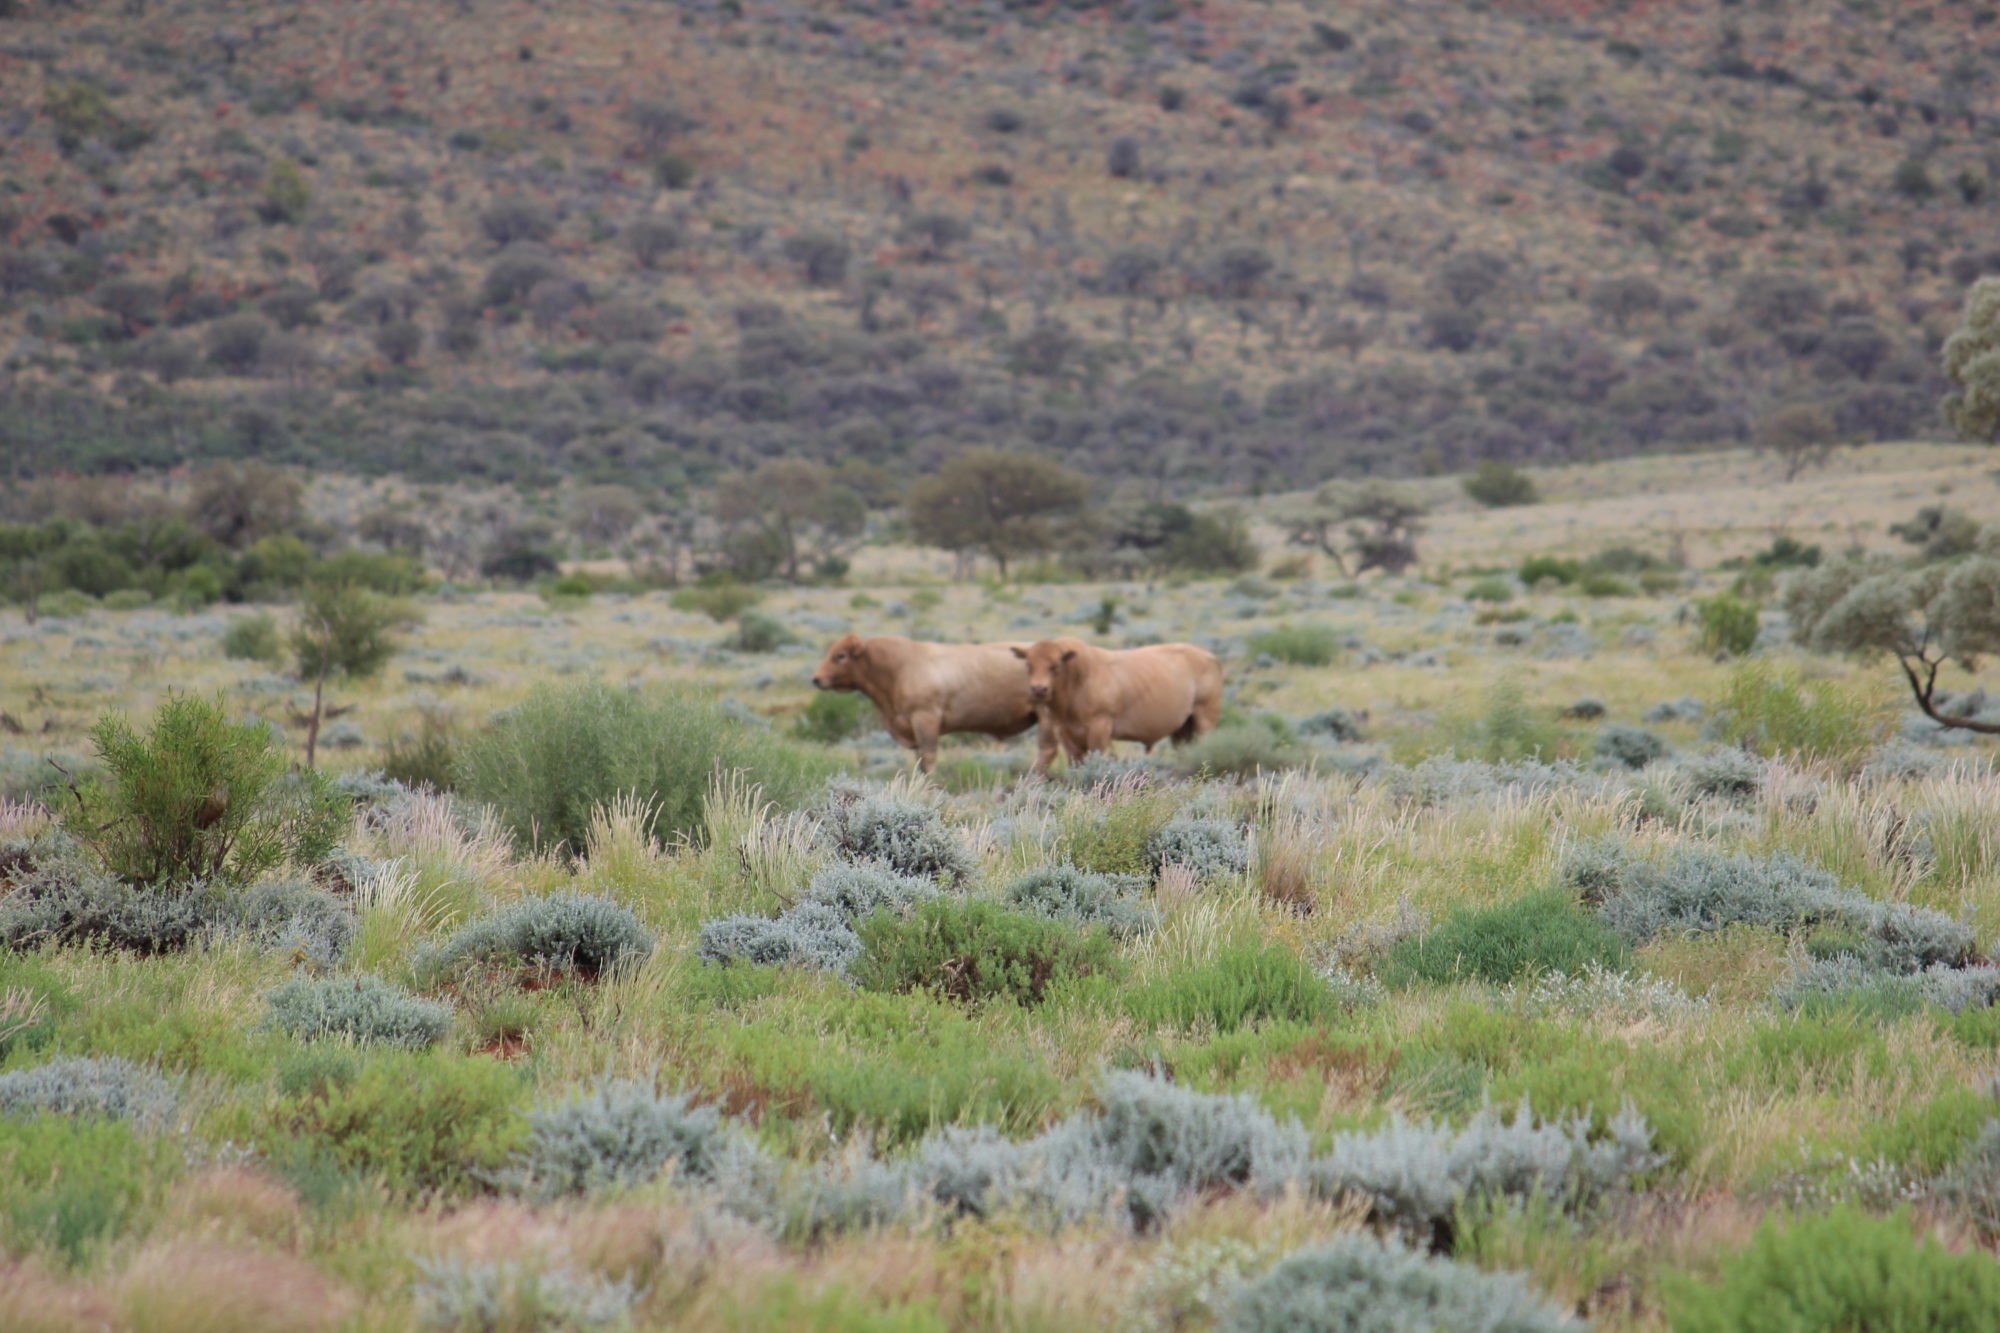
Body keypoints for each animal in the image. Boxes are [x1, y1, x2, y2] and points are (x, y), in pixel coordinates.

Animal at [811, 633, 1052, 771]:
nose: (816, 678)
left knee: (1046, 751)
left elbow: (928, 758)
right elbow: (919, 760)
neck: (899, 668)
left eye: (840, 655)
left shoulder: (925, 719)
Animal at [1011, 636, 1223, 770]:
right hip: (1182, 728)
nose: (1039, 689)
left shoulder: (1100, 728)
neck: (1077, 680)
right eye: (1028, 665)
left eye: (1055, 666)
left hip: (1205, 717)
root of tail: (1209, 656)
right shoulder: (1065, 733)